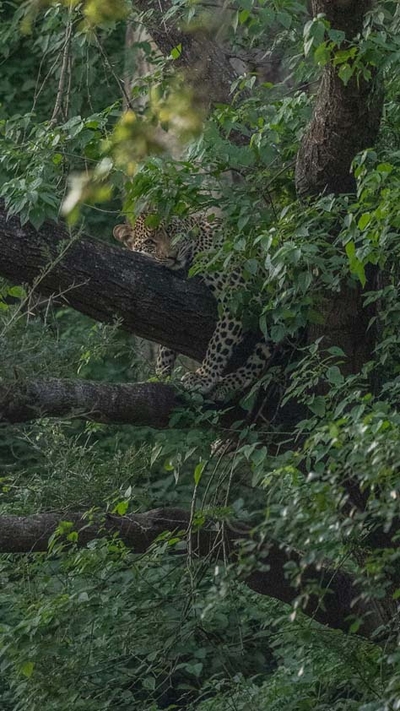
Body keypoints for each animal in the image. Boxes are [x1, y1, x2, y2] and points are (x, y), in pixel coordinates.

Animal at [111, 211, 272, 400]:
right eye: (150, 242)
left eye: (170, 230)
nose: (172, 255)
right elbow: (167, 345)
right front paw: (160, 374)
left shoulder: (238, 295)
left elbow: (219, 343)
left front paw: (203, 377)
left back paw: (227, 383)